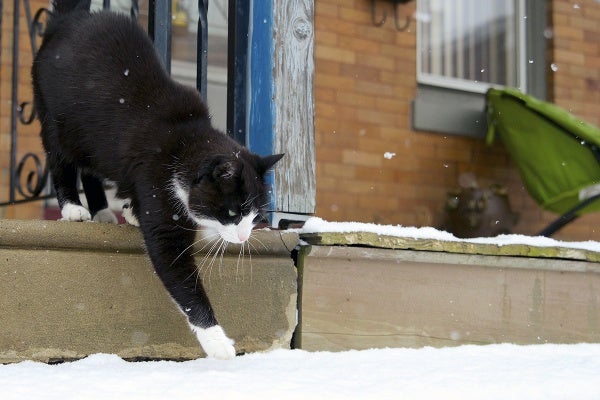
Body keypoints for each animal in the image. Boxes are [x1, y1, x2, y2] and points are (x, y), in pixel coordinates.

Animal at [33, 0, 284, 360]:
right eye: (233, 213)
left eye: (255, 217)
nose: (242, 239)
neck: (184, 140)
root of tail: (68, 19)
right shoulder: (158, 190)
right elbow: (178, 272)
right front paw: (218, 343)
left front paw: (132, 211)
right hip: (58, 118)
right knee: (61, 160)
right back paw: (73, 208)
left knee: (92, 169)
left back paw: (103, 211)